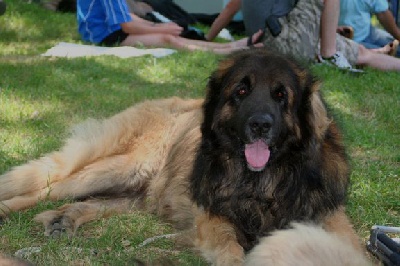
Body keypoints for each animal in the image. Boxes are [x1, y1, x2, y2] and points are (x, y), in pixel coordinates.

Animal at [0, 49, 368, 264]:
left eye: (281, 96)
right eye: (242, 90)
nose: (260, 125)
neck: (263, 183)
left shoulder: (327, 216)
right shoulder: (213, 219)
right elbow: (231, 250)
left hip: (139, 193)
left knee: (91, 203)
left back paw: (63, 220)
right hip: (121, 168)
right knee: (45, 189)